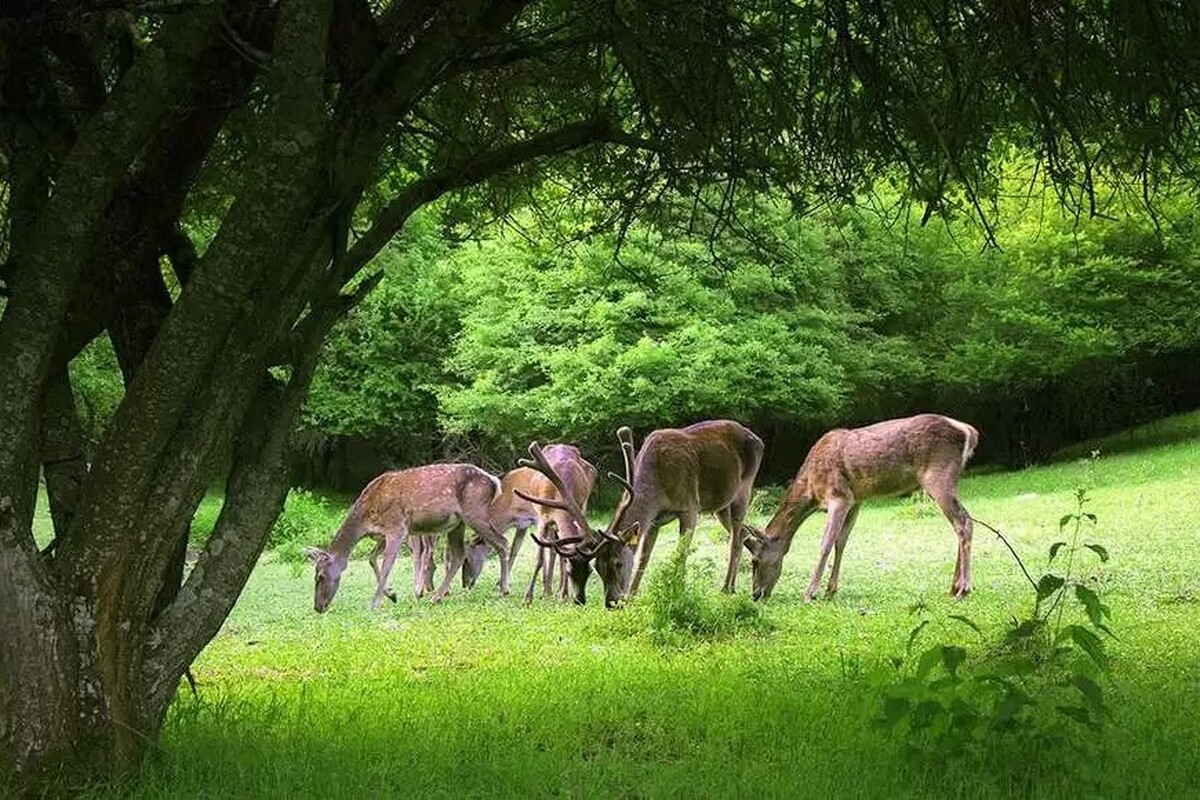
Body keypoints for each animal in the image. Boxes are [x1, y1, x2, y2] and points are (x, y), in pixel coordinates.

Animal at [304, 462, 511, 614]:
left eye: (320, 577)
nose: (318, 607)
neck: (366, 516)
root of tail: (494, 481)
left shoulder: (397, 528)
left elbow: (387, 566)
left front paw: (375, 603)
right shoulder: (382, 534)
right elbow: (371, 558)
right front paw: (391, 594)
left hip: (475, 512)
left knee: (503, 542)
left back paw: (504, 589)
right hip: (457, 523)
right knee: (459, 554)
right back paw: (436, 596)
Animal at [520, 422, 763, 604]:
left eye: (618, 563)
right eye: (597, 567)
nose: (611, 602)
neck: (657, 485)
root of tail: (757, 438)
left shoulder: (690, 506)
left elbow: (681, 553)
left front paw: (677, 591)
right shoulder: (654, 520)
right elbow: (643, 557)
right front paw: (633, 596)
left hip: (744, 489)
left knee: (735, 538)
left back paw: (726, 588)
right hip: (721, 506)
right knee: (742, 533)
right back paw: (736, 584)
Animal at [739, 412, 984, 599]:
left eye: (754, 560)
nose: (756, 595)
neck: (812, 490)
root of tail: (968, 431)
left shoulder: (838, 496)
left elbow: (826, 542)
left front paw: (810, 592)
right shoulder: (856, 501)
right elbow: (842, 542)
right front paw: (830, 590)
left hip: (938, 475)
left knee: (964, 521)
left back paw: (963, 588)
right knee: (960, 522)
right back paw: (953, 586)